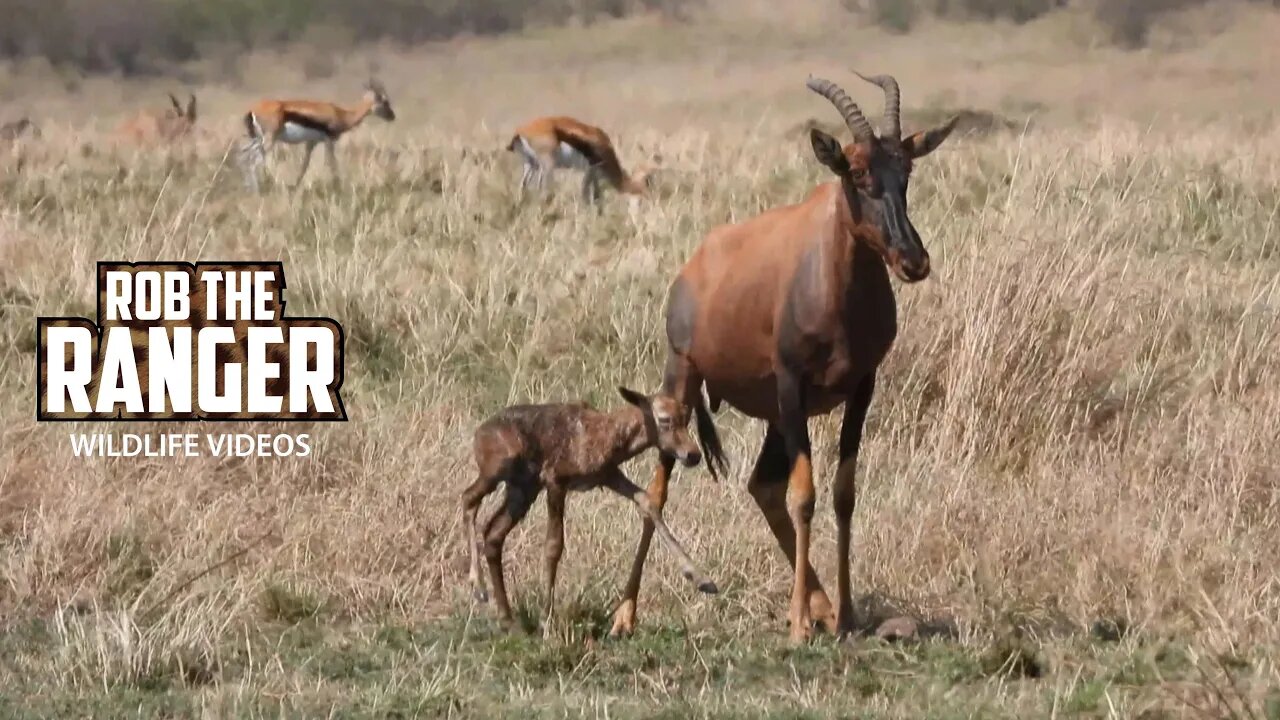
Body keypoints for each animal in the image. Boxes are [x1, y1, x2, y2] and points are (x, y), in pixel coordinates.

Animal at [240, 79, 394, 190]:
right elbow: (332, 163)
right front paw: (339, 187)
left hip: (258, 140)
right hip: (268, 140)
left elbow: (304, 165)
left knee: (244, 155)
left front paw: (295, 187)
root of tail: (253, 109)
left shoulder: (311, 142)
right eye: (384, 101)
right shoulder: (329, 140)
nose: (392, 116)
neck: (341, 114)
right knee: (252, 160)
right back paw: (256, 190)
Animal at [463, 384, 721, 625]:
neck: (606, 433)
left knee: (494, 533)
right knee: (468, 498)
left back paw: (507, 618)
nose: (693, 454)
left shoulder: (609, 476)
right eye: (665, 419)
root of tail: (479, 433)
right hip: (496, 473)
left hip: (522, 491)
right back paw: (479, 587)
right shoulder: (556, 481)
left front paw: (703, 580)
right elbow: (553, 546)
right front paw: (548, 621)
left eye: (686, 418)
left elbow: (648, 501)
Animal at [504, 116, 655, 203]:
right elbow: (586, 195)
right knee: (542, 189)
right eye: (647, 182)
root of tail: (521, 130)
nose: (651, 198)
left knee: (522, 187)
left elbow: (597, 197)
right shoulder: (590, 171)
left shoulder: (594, 176)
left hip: (530, 164)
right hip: (547, 165)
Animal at [611, 74, 962, 645]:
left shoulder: (861, 388)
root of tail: (692, 268)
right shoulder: (793, 384)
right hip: (686, 380)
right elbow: (805, 495)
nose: (913, 260)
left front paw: (845, 616)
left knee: (761, 486)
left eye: (906, 171)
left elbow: (842, 493)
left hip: (775, 413)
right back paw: (626, 614)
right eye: (855, 172)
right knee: (658, 490)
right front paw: (798, 625)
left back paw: (821, 607)